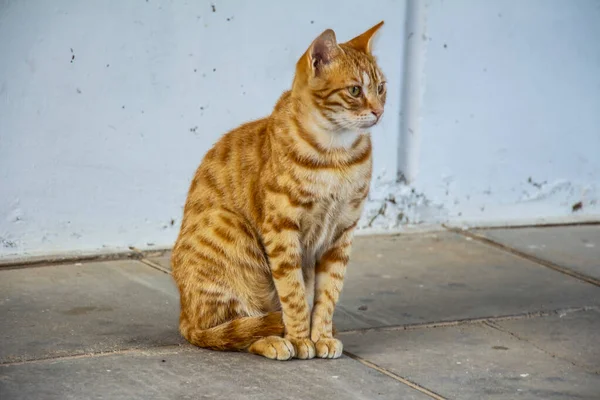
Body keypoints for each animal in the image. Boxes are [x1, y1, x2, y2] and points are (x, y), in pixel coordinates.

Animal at [172, 20, 390, 360]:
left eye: (381, 87)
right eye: (355, 90)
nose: (379, 111)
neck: (336, 156)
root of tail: (185, 315)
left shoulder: (341, 233)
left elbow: (328, 294)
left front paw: (321, 335)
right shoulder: (282, 230)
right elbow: (293, 294)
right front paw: (300, 338)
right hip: (230, 230)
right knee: (233, 330)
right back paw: (274, 339)